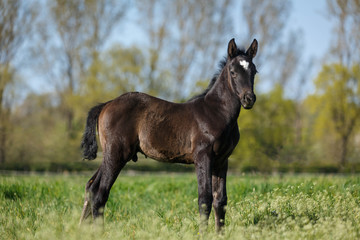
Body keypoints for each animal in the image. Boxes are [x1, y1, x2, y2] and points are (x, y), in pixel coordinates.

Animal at [80, 38, 258, 232]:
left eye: (254, 71)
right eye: (233, 72)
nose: (249, 99)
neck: (216, 112)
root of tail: (106, 104)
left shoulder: (222, 160)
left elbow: (221, 200)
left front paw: (220, 234)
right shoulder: (203, 156)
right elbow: (205, 199)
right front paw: (203, 234)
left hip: (110, 154)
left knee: (91, 186)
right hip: (116, 153)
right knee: (100, 192)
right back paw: (99, 231)